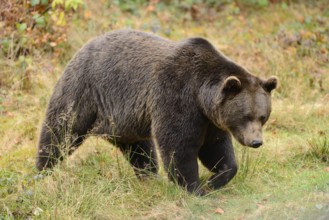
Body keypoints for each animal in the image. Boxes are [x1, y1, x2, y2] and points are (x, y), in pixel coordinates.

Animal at [36, 28, 276, 194]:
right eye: (246, 116)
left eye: (263, 117)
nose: (256, 142)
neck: (201, 94)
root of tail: (82, 48)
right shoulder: (176, 96)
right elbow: (178, 144)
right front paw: (194, 187)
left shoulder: (208, 118)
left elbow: (216, 148)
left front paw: (215, 179)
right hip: (83, 93)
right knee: (58, 135)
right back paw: (41, 173)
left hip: (125, 121)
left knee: (141, 151)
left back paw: (149, 177)